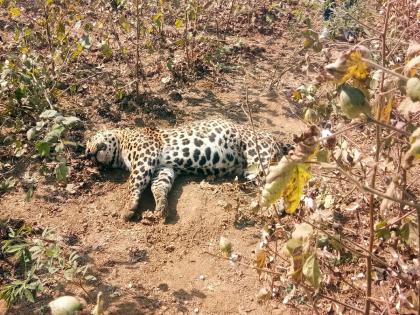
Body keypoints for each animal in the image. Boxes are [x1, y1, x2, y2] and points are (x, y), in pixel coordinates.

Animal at [85, 116, 292, 222]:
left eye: (90, 140)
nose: (88, 154)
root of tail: (276, 139)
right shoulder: (164, 168)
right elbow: (158, 187)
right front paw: (161, 206)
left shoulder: (146, 156)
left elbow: (133, 183)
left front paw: (128, 206)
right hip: (252, 171)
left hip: (259, 156)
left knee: (278, 183)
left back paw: (274, 208)